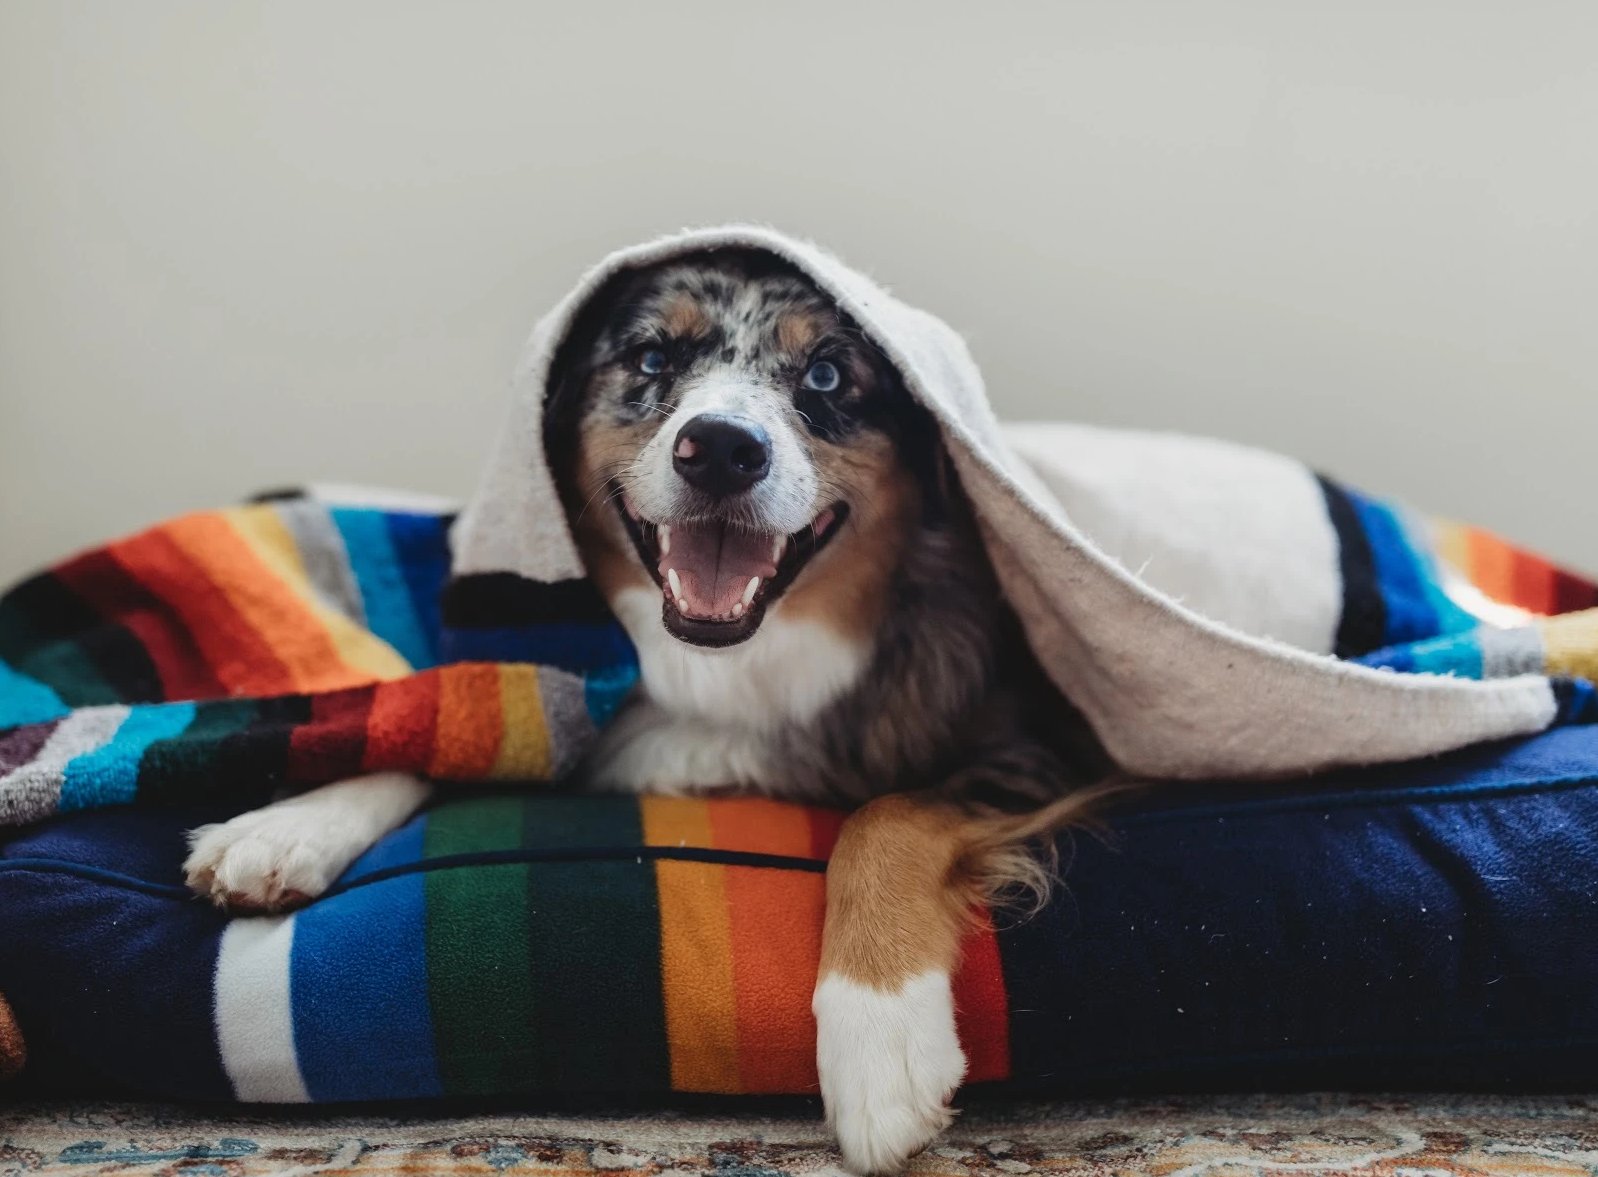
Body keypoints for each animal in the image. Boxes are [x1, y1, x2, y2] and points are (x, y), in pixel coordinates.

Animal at [186, 247, 1112, 1169]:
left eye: (826, 374)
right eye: (652, 357)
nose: (723, 449)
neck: (727, 667)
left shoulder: (1044, 745)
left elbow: (887, 815)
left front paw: (879, 1033)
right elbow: (442, 742)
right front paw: (285, 826)